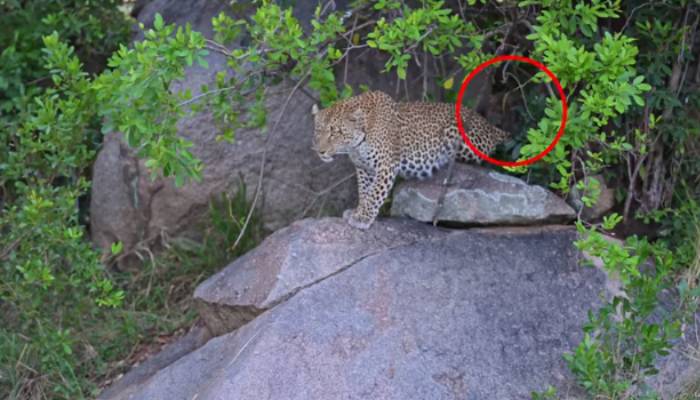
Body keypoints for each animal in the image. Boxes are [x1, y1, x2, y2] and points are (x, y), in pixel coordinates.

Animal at [312, 89, 508, 230]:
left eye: (336, 133)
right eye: (318, 131)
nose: (321, 152)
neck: (356, 144)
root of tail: (493, 128)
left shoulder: (386, 166)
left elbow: (374, 194)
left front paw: (362, 218)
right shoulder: (363, 169)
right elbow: (364, 191)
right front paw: (358, 210)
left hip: (458, 134)